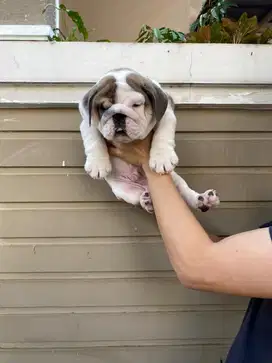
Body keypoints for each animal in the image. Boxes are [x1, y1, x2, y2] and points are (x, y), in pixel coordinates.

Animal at [78, 68, 219, 213]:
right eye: (104, 108)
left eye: (136, 105)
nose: (118, 115)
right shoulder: (87, 122)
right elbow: (93, 138)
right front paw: (97, 164)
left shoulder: (166, 114)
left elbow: (163, 133)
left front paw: (162, 158)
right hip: (125, 191)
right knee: (138, 197)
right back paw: (147, 201)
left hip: (175, 179)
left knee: (185, 192)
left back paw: (203, 199)